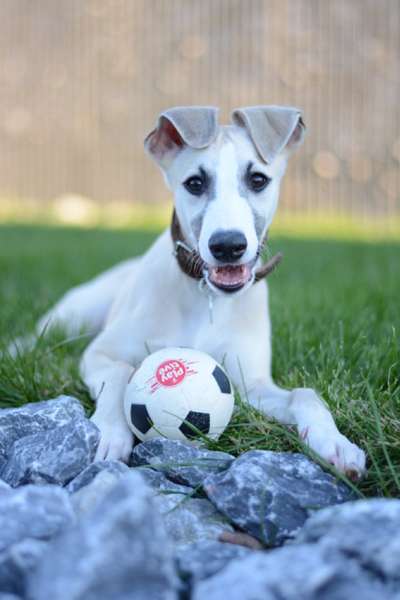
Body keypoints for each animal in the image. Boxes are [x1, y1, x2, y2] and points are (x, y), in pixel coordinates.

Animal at [34, 104, 366, 478]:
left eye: (258, 180)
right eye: (195, 183)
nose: (228, 246)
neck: (207, 299)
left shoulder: (252, 385)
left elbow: (305, 394)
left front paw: (335, 444)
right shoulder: (99, 353)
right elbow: (119, 373)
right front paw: (109, 432)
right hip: (76, 315)